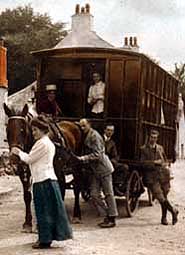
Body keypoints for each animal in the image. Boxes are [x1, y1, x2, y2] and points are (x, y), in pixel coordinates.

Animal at [3, 102, 84, 232]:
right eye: (8, 130)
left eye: (22, 130)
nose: (14, 157)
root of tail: (75, 124)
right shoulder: (24, 172)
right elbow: (27, 196)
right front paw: (28, 223)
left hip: (75, 166)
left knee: (76, 187)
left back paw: (76, 214)